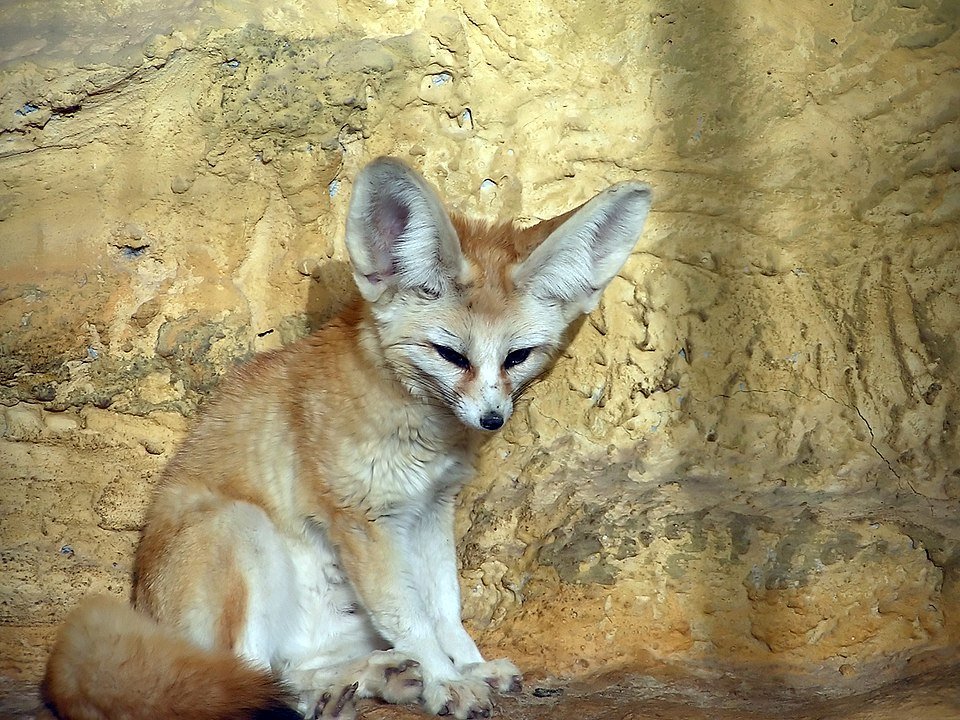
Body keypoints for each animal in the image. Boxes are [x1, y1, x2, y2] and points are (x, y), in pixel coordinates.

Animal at [43, 158, 652, 720]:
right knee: (246, 678)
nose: (492, 419)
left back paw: (371, 678)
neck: (420, 428)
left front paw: (468, 666)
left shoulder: (430, 511)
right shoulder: (365, 522)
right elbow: (414, 621)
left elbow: (444, 610)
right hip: (241, 529)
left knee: (288, 667)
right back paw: (332, 693)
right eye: (450, 355)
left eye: (516, 357)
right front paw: (447, 682)